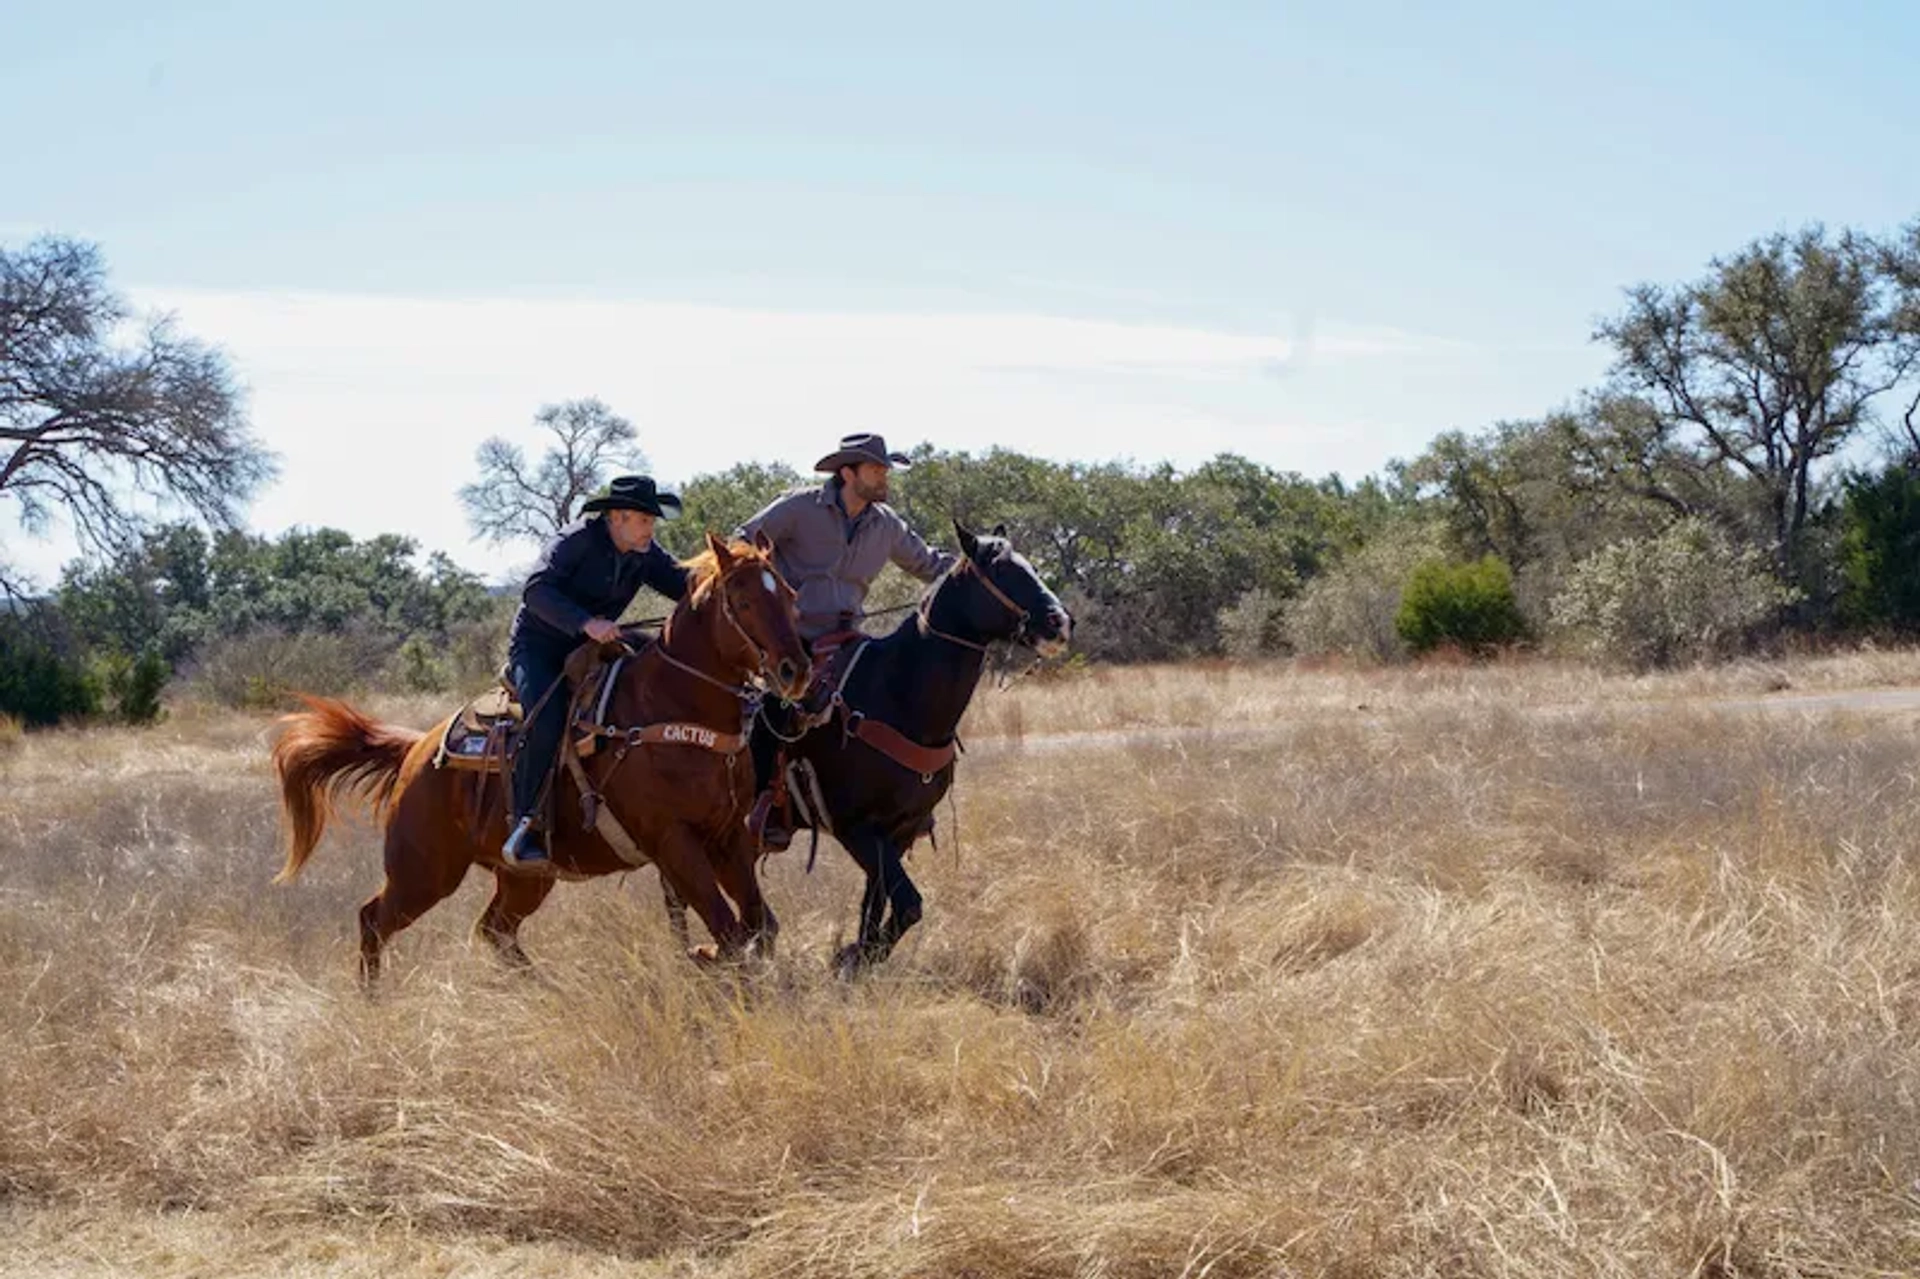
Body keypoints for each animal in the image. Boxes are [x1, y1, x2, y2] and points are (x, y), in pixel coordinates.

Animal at [272, 526, 810, 975]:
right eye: (741, 600)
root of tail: (416, 749)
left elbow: (759, 927)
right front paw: (710, 957)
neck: (673, 708)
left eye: (788, 593)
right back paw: (373, 1002)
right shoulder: (673, 841)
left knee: (494, 930)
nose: (795, 670)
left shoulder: (728, 835)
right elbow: (730, 931)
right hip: (423, 871)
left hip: (521, 877)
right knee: (374, 920)